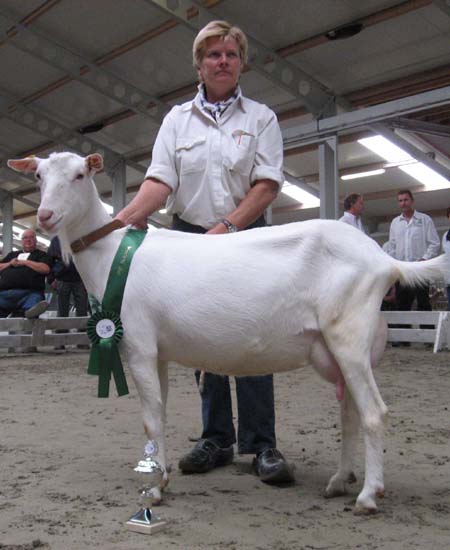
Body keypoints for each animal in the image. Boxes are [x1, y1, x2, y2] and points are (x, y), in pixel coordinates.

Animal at [7, 151, 449, 515]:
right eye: (40, 176)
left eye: (80, 175)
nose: (44, 216)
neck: (112, 252)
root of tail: (384, 260)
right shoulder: (156, 350)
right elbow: (159, 413)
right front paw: (162, 475)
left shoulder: (138, 345)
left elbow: (150, 420)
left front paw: (153, 490)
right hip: (336, 349)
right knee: (351, 414)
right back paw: (340, 481)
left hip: (349, 335)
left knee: (375, 413)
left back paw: (368, 496)